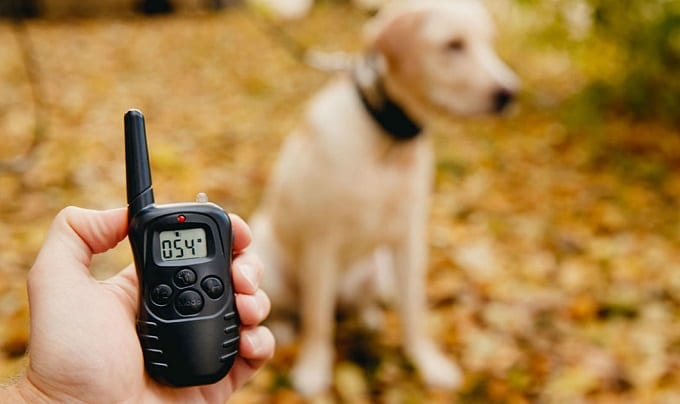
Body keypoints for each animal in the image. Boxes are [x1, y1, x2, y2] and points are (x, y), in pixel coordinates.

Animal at [250, 0, 520, 394]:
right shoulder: (321, 243)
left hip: (376, 268)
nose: (509, 92)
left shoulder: (408, 238)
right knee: (294, 309)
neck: (390, 141)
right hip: (268, 257)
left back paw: (368, 318)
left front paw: (427, 363)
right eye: (453, 45)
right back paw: (284, 328)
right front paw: (313, 370)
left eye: (490, 42)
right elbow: (317, 321)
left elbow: (414, 311)